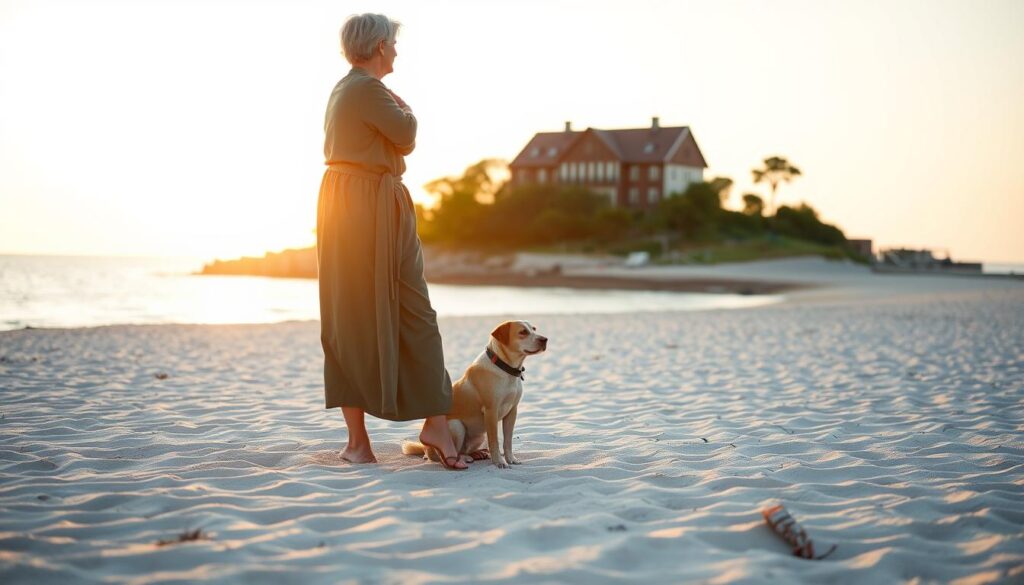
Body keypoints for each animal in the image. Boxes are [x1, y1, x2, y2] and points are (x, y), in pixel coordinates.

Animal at [401, 319, 548, 471]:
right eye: (523, 332)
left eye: (534, 329)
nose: (545, 339)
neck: (504, 367)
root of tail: (425, 449)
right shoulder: (491, 411)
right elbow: (494, 441)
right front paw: (499, 461)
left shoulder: (512, 411)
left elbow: (508, 441)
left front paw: (511, 459)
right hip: (456, 426)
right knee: (453, 453)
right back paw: (462, 458)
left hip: (480, 435)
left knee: (467, 449)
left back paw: (477, 453)